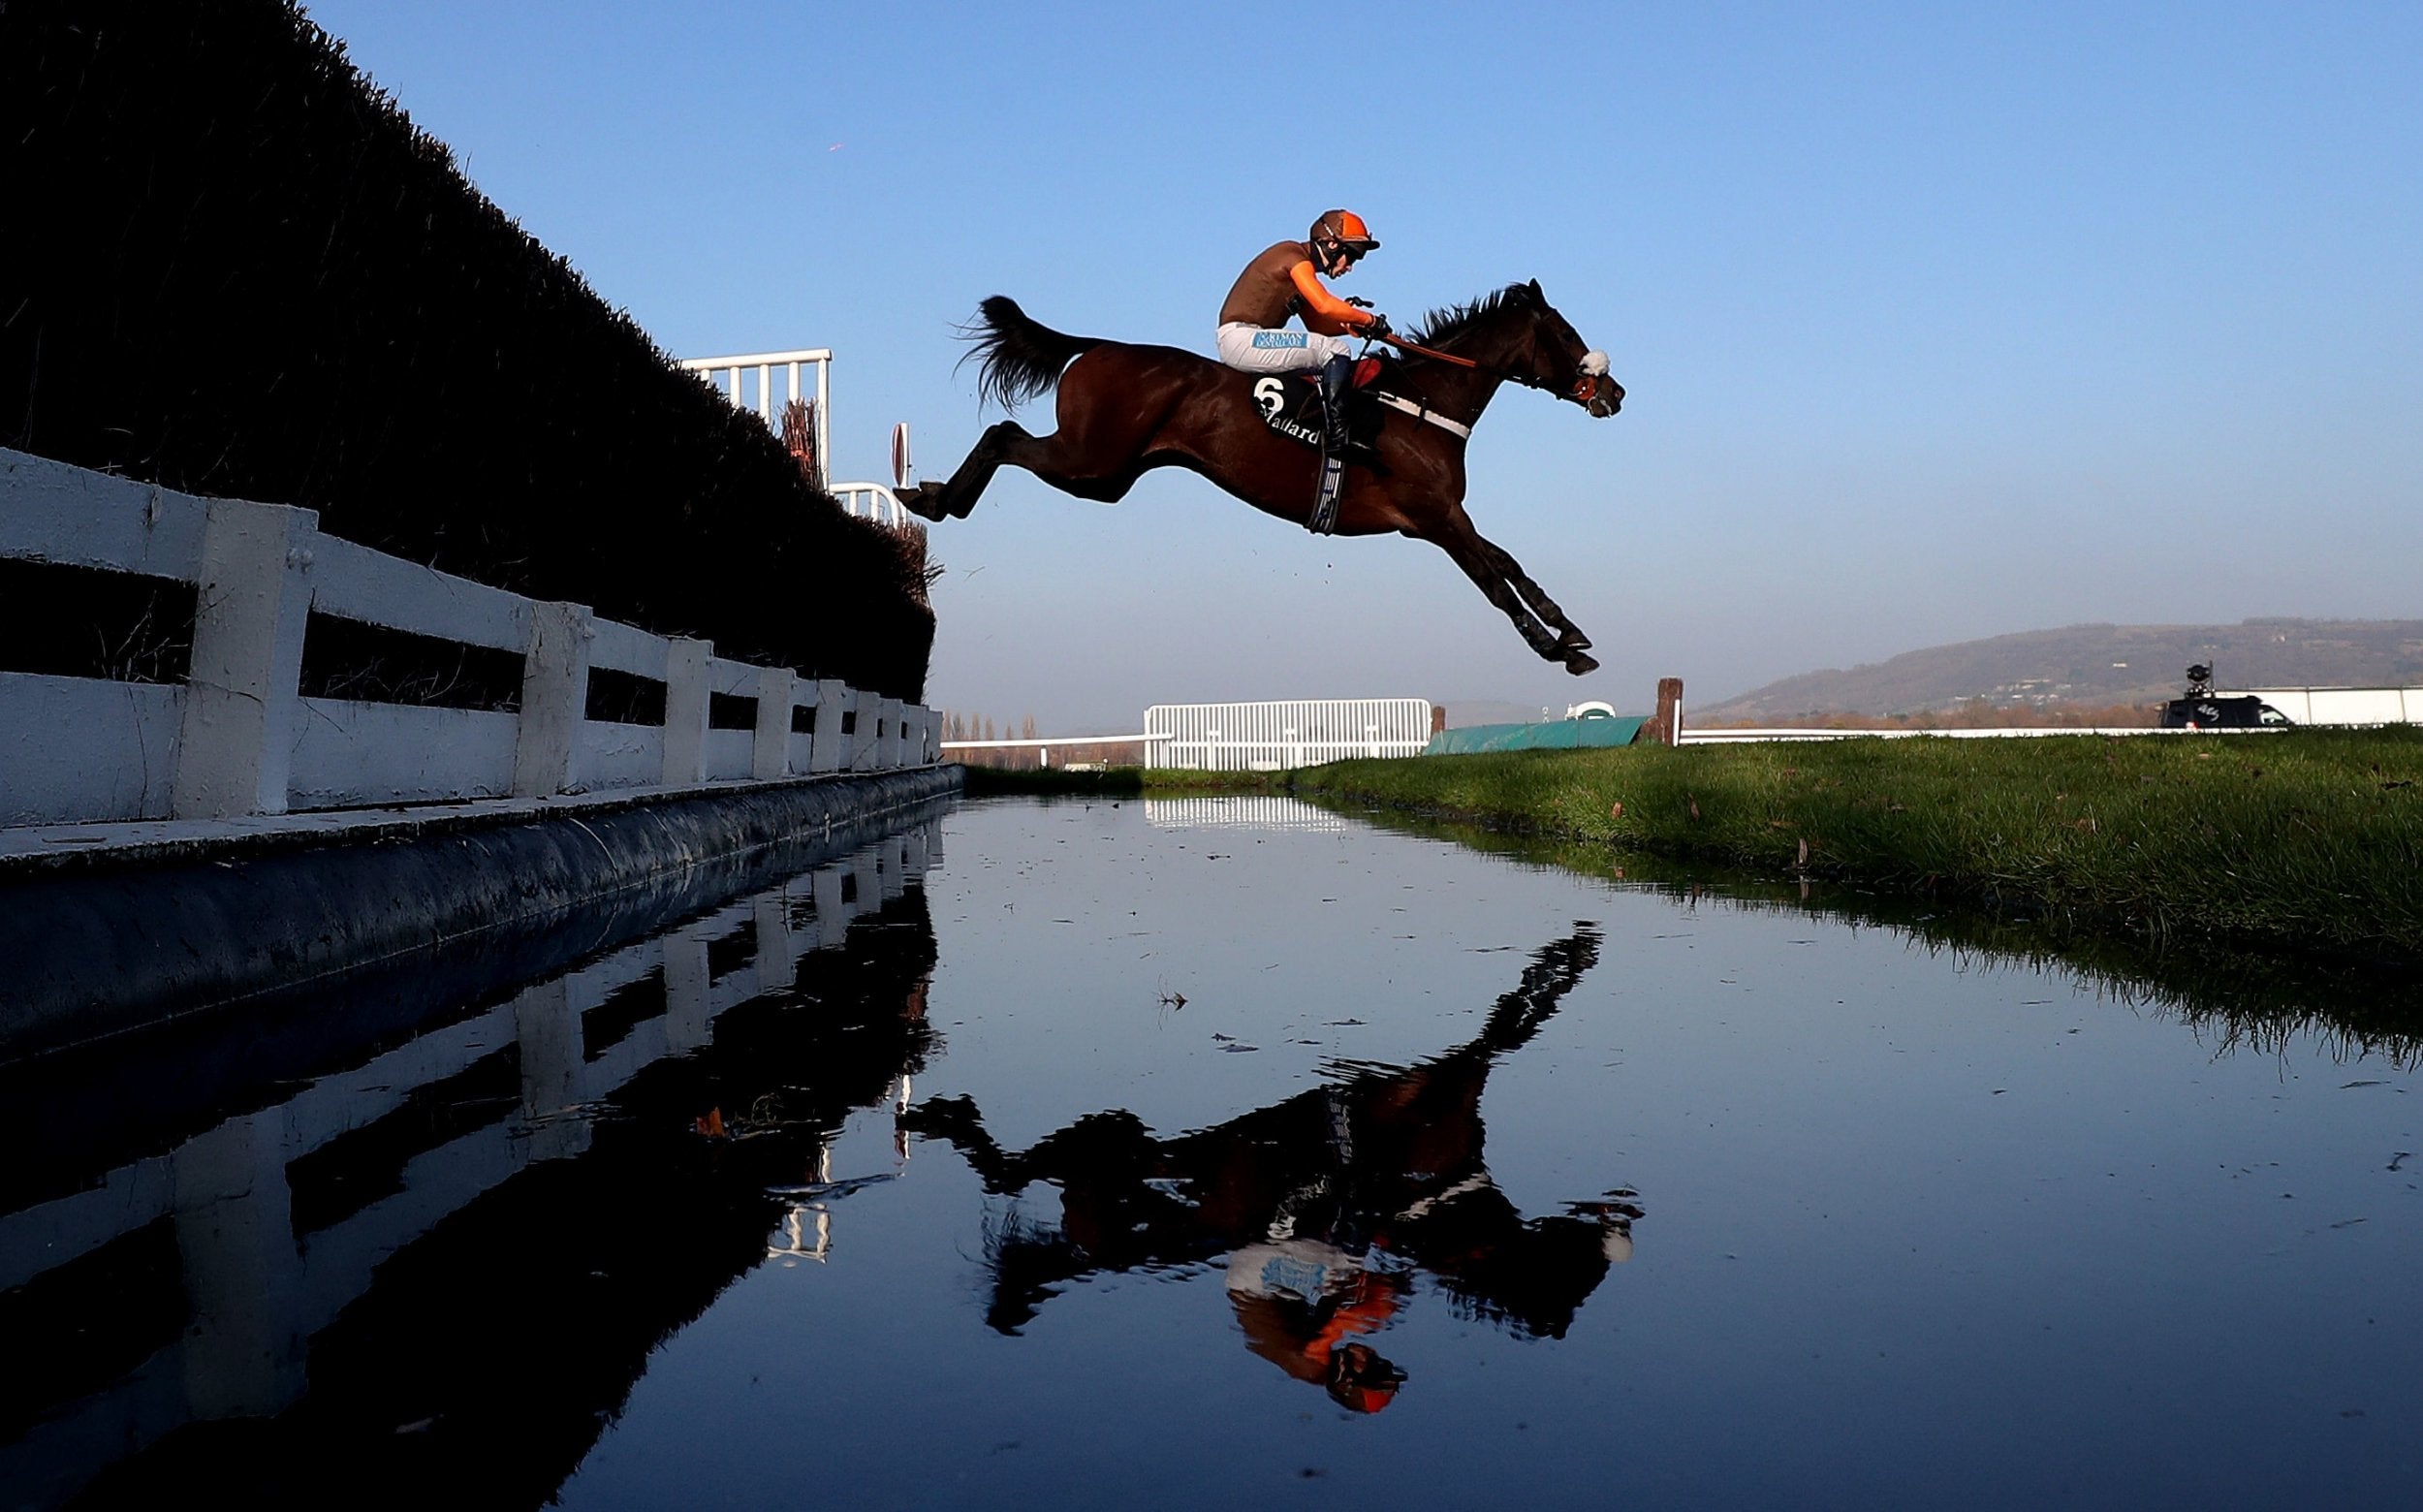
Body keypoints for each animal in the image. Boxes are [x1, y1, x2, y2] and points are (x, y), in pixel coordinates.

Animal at [901, 283, 1619, 674]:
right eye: (1566, 332)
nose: (1614, 391)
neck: (1421, 404)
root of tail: (1099, 346)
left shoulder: (1438, 518)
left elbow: (1511, 563)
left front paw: (1571, 630)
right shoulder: (1436, 518)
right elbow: (1494, 582)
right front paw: (1557, 649)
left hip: (1105, 472)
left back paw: (929, 495)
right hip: (1092, 464)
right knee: (1004, 436)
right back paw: (932, 497)